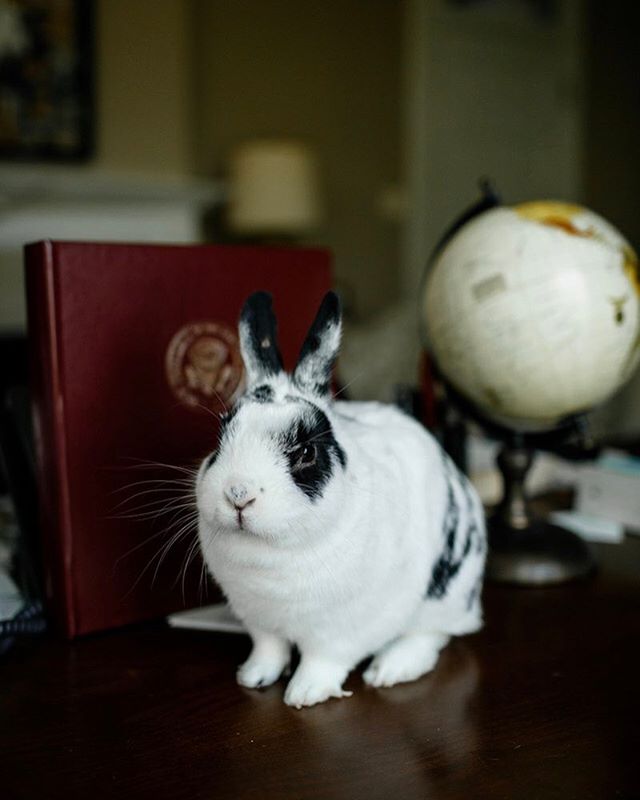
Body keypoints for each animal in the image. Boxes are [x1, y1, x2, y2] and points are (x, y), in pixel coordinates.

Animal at [196, 290, 486, 708]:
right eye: (221, 437)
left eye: (306, 452)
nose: (238, 495)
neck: (273, 552)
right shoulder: (260, 623)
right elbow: (269, 650)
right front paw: (253, 677)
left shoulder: (339, 632)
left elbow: (322, 660)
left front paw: (305, 694)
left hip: (443, 597)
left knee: (431, 634)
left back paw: (390, 670)